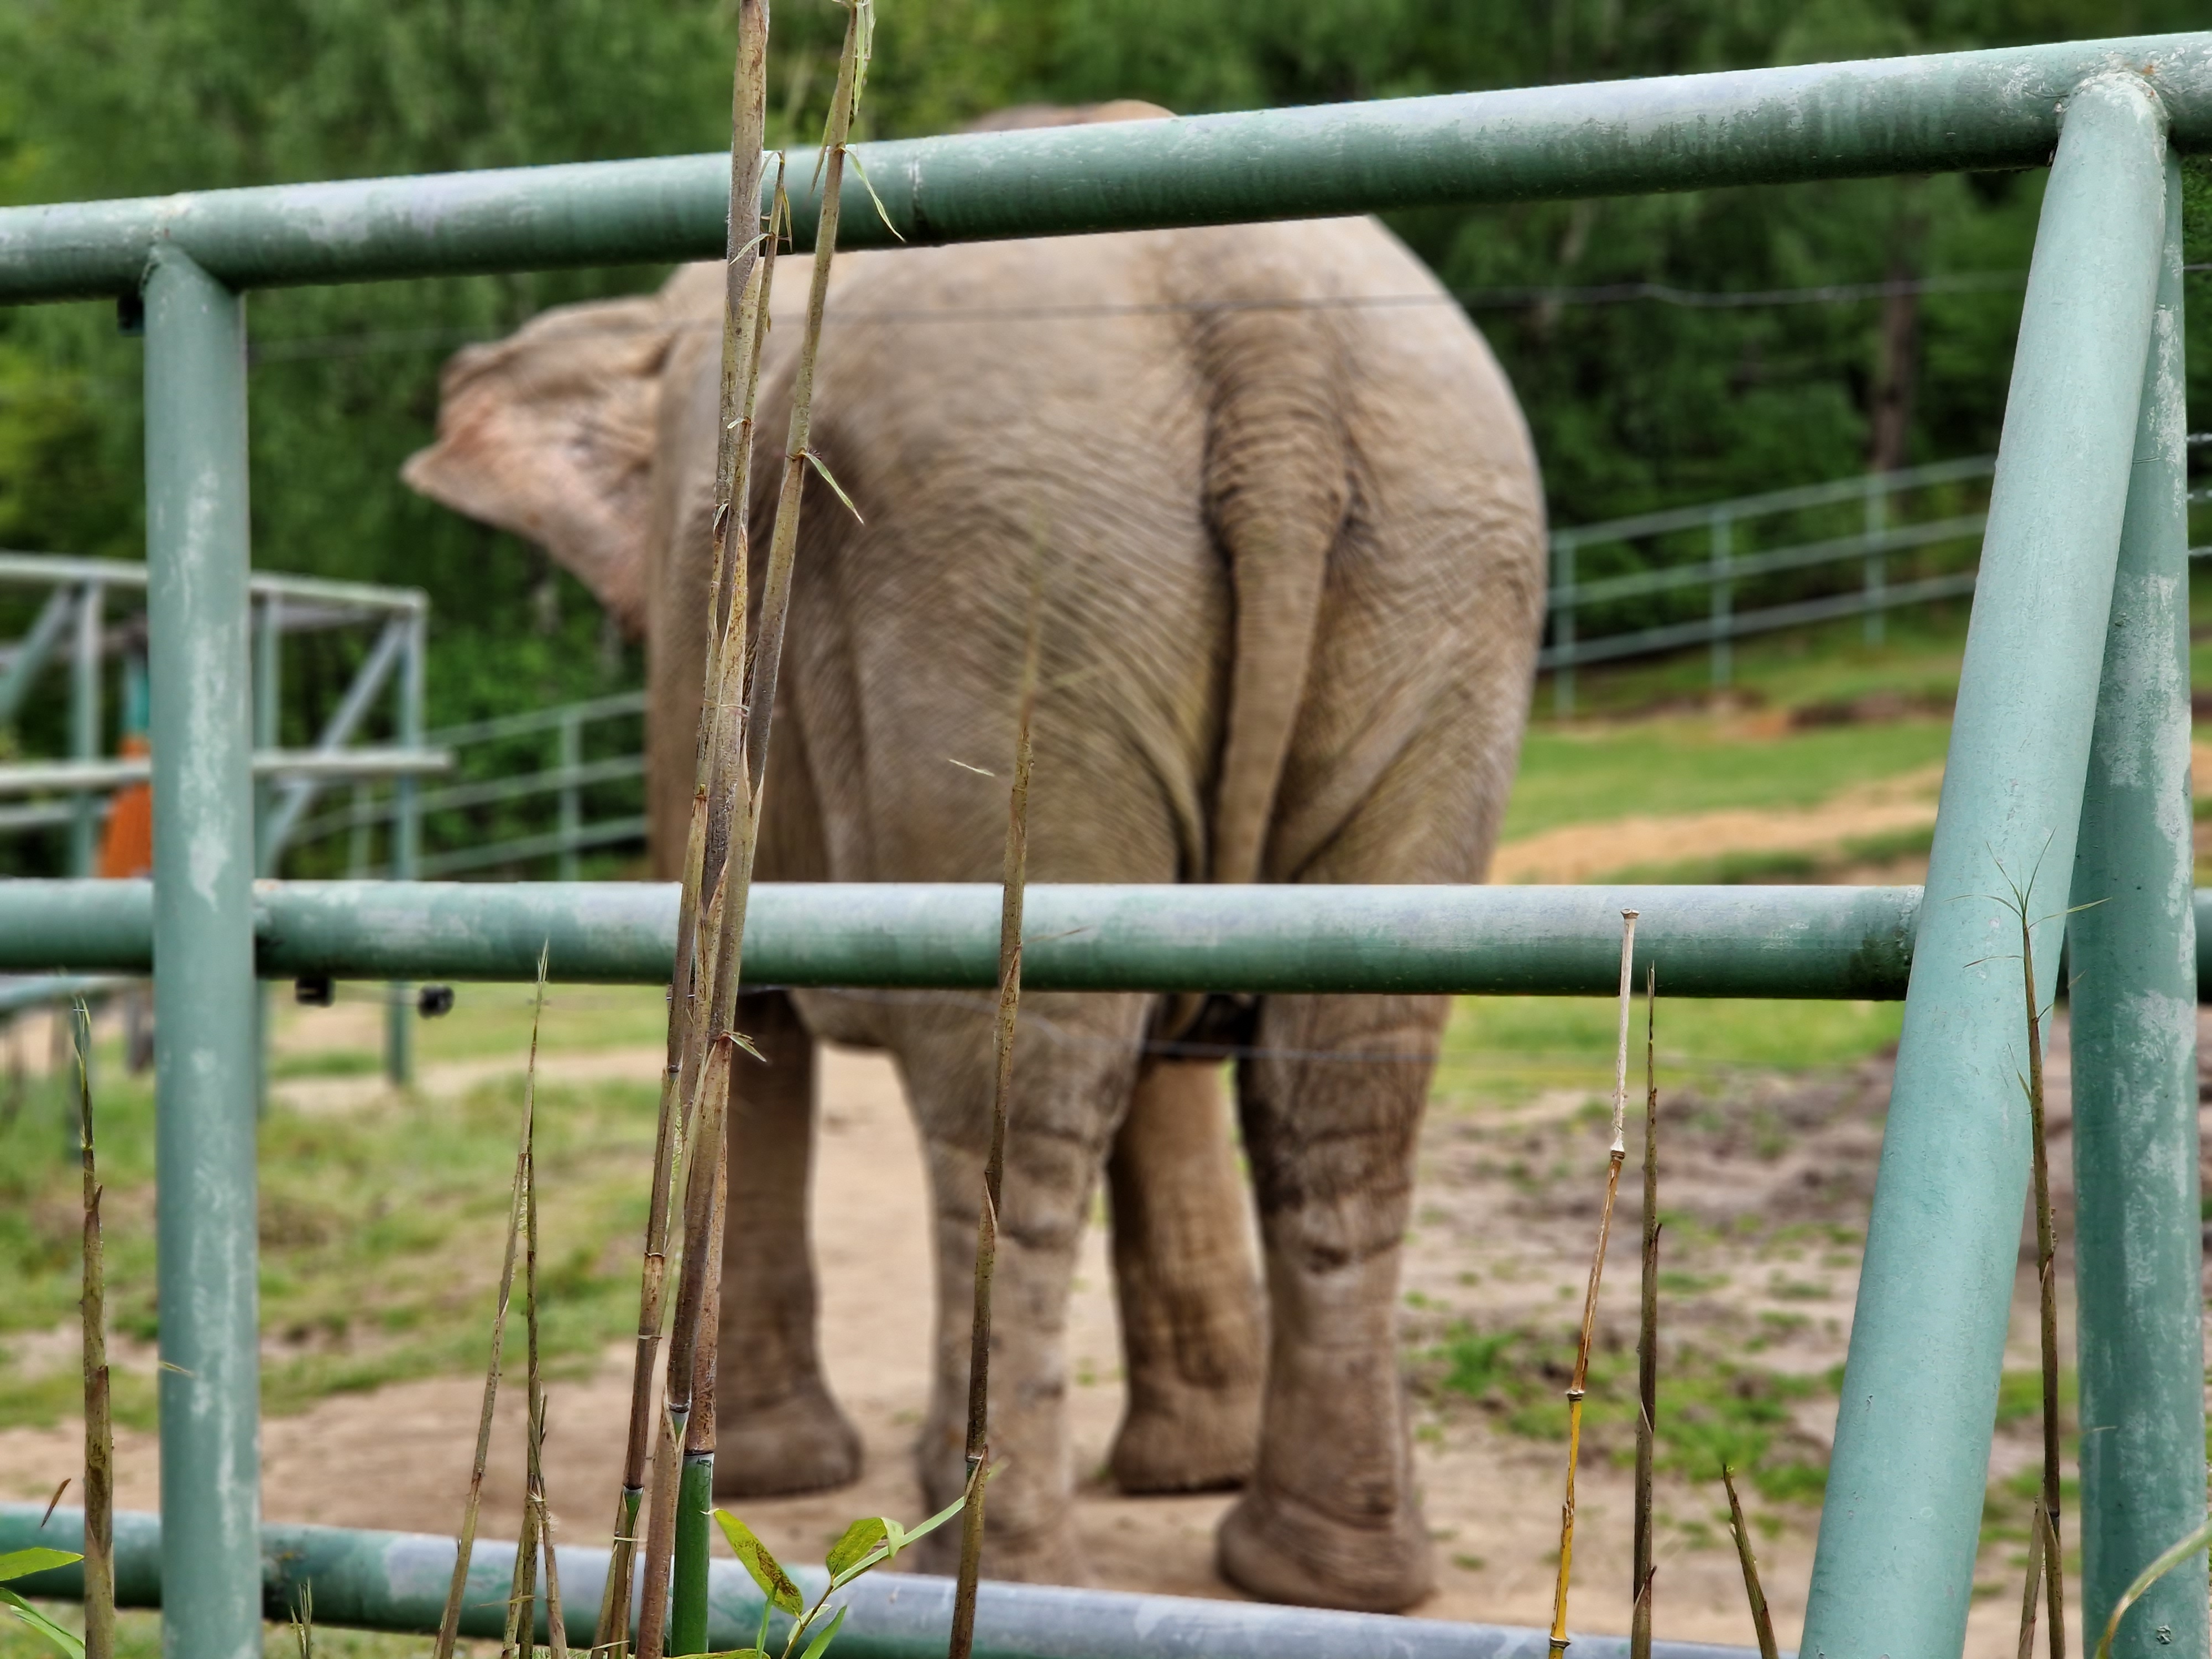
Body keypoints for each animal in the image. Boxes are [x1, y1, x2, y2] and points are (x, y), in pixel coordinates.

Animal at [403, 103, 1546, 1613]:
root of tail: (1278, 364)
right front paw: (1178, 1475)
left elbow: (733, 992)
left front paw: (768, 1472)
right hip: (1421, 569)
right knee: (1339, 1065)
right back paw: (1322, 1577)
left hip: (1016, 599)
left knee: (1024, 1074)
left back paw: (986, 1553)